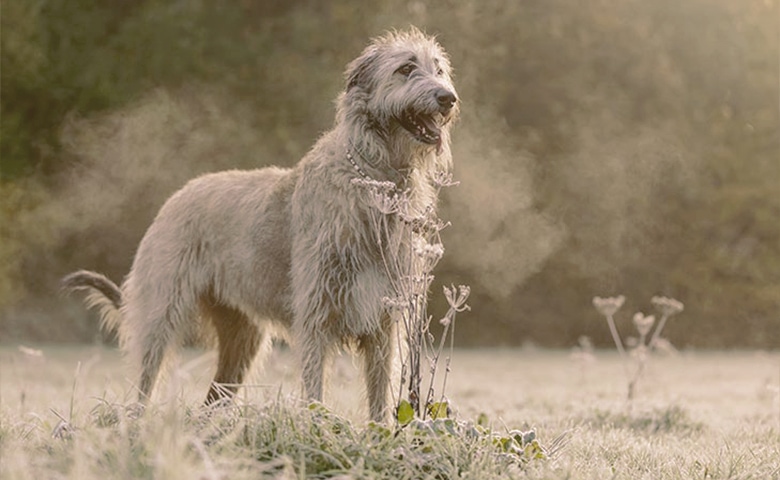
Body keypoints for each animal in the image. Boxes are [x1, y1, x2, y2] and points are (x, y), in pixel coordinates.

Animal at [65, 28, 464, 422]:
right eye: (406, 68)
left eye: (439, 69)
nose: (448, 98)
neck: (375, 179)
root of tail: (175, 198)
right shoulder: (316, 313)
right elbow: (315, 388)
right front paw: (317, 427)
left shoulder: (383, 320)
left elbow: (380, 395)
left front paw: (378, 434)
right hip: (161, 312)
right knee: (146, 380)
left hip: (242, 338)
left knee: (214, 397)